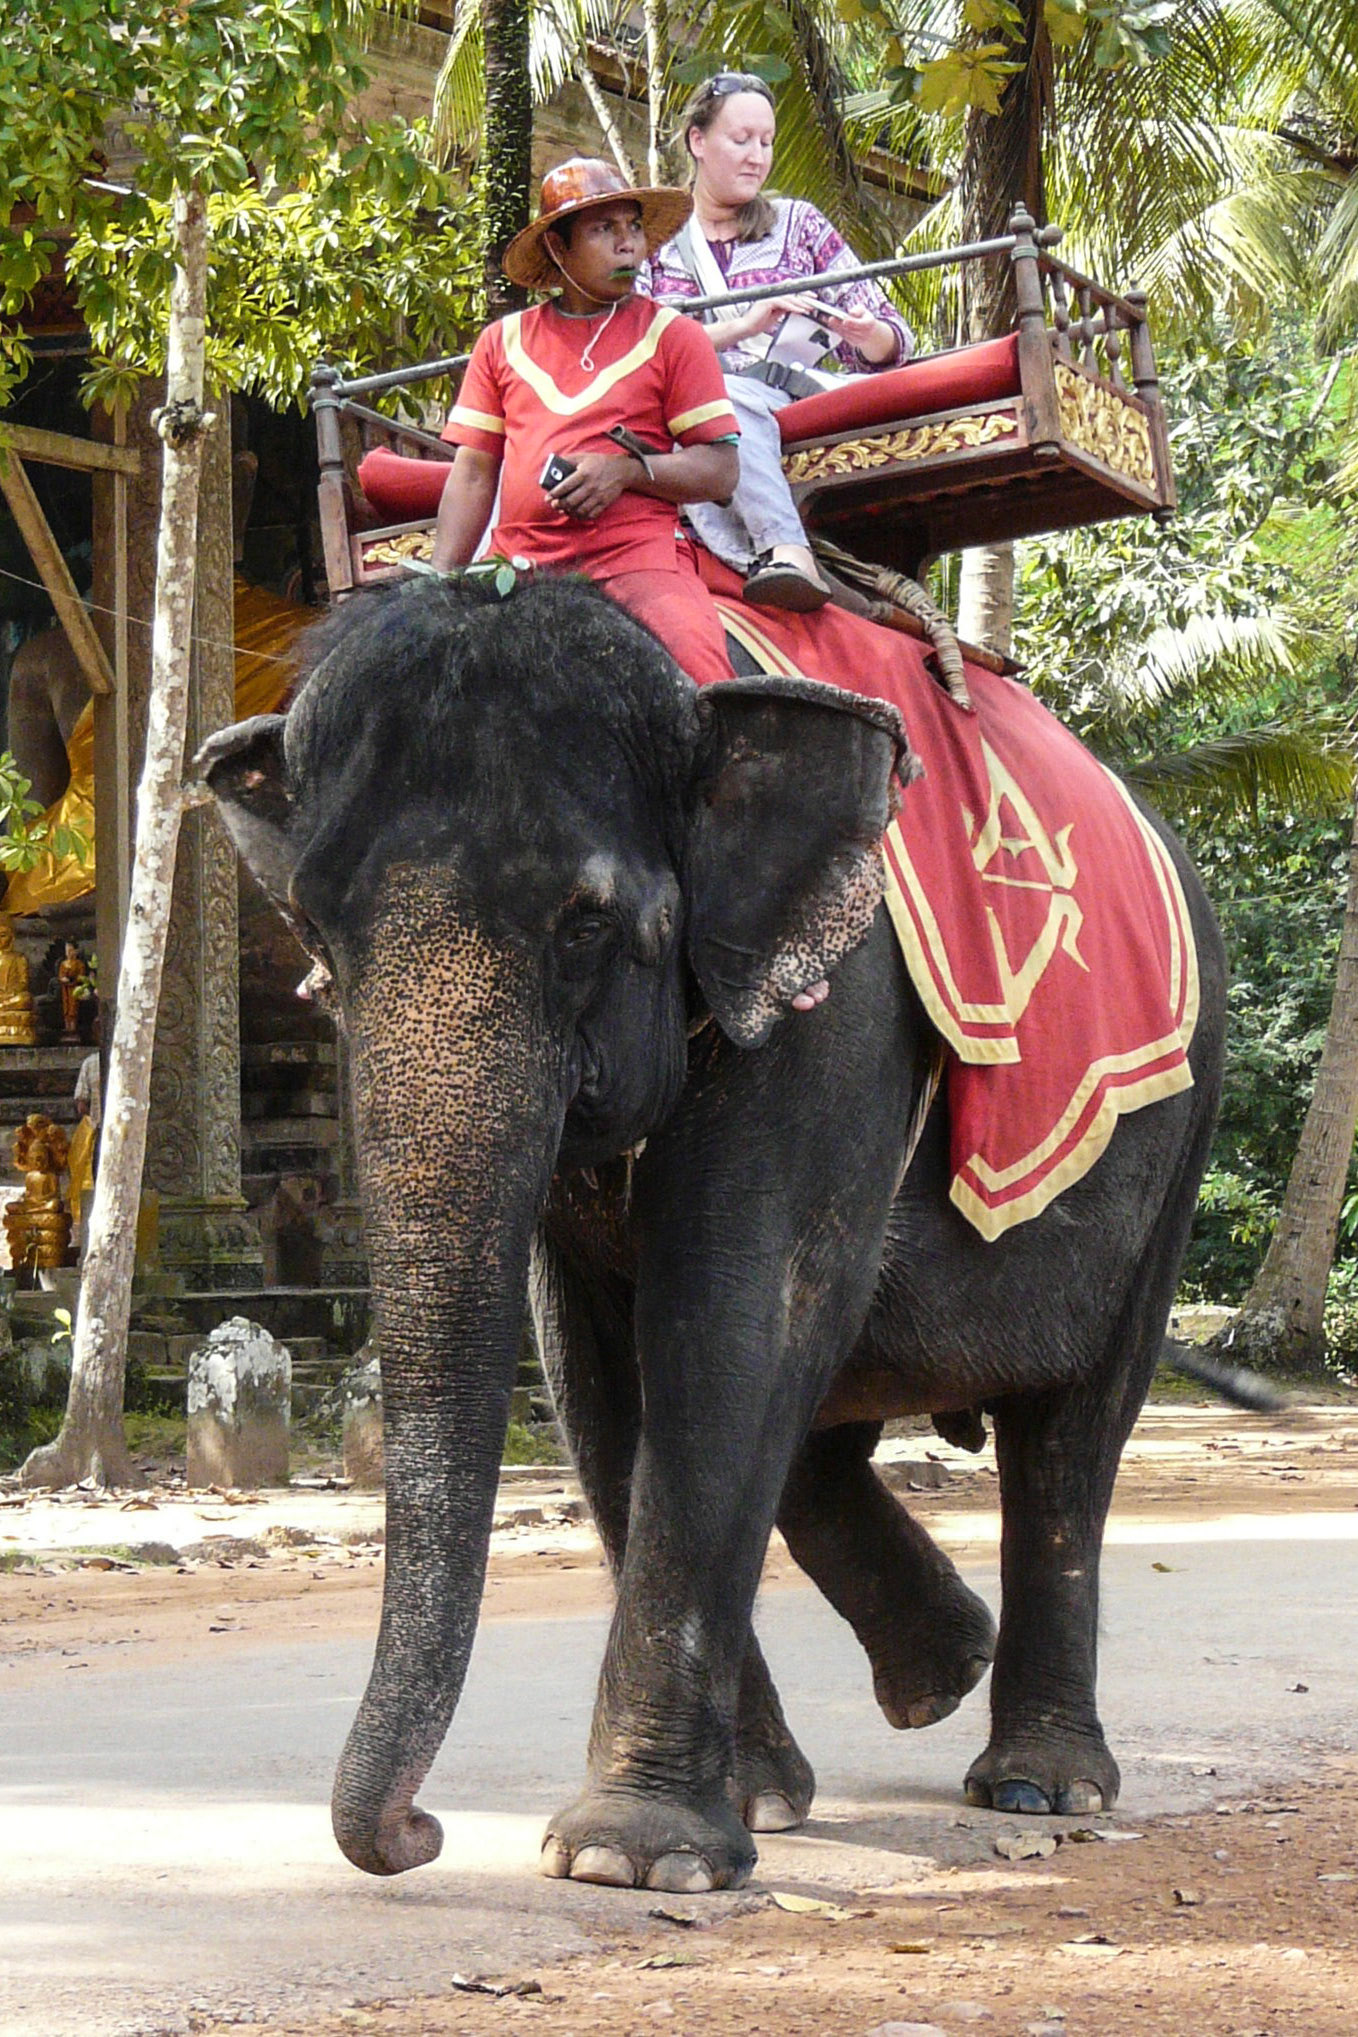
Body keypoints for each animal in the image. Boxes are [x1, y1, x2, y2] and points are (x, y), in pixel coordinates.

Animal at [198, 571, 1227, 1895]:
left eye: (587, 925)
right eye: (316, 939)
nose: (416, 1834)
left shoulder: (833, 1015)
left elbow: (725, 1319)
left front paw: (627, 1859)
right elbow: (594, 1372)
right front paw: (735, 1813)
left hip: (1179, 1131)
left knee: (1070, 1432)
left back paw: (1038, 1785)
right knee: (827, 1431)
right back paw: (933, 1671)